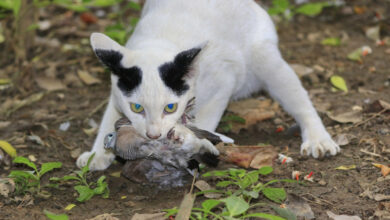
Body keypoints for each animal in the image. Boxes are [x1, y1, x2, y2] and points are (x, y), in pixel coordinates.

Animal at [75, 0, 338, 170]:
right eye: (137, 108)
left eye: (170, 107)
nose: (154, 134)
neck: (159, 42)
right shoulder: (116, 94)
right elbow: (109, 119)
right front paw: (97, 154)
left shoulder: (224, 78)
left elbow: (203, 120)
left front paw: (191, 138)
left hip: (265, 59)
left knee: (298, 97)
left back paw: (318, 139)